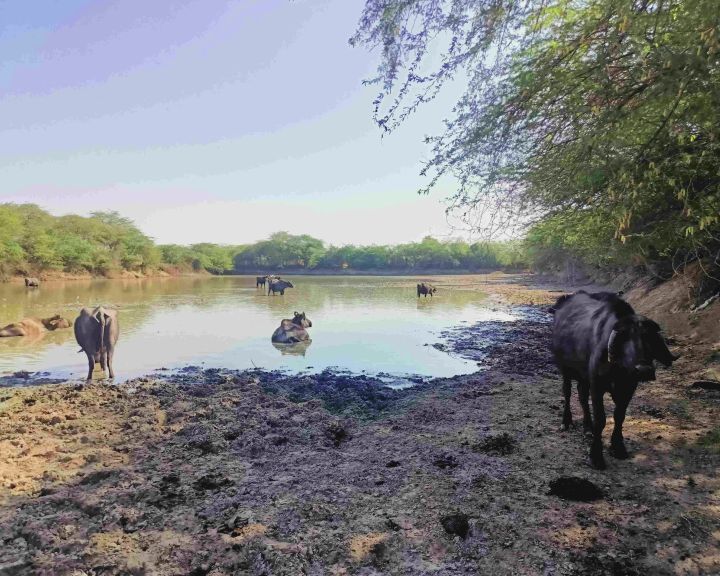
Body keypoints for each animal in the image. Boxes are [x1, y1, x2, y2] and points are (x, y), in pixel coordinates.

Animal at [552, 290, 676, 470]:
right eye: (626, 338)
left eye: (648, 338)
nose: (644, 370)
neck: (619, 369)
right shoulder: (597, 386)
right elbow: (601, 420)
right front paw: (596, 456)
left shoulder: (629, 387)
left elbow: (619, 416)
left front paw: (618, 447)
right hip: (565, 370)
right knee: (567, 393)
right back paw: (566, 422)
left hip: (584, 377)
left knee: (582, 396)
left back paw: (587, 427)